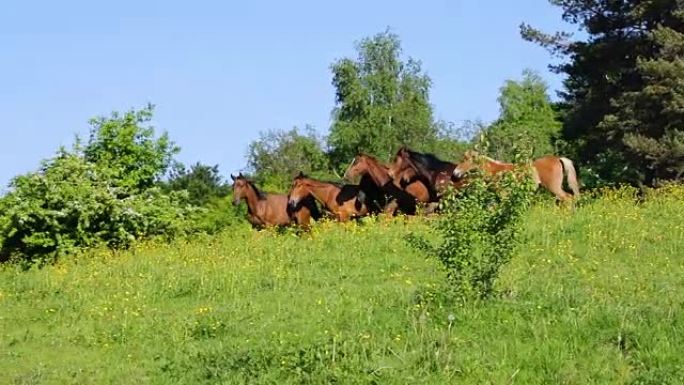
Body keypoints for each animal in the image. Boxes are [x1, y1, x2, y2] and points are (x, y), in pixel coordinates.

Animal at [452, 148, 580, 200]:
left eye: (465, 159)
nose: (455, 173)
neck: (496, 171)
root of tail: (558, 159)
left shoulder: (503, 194)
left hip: (553, 187)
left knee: (567, 198)